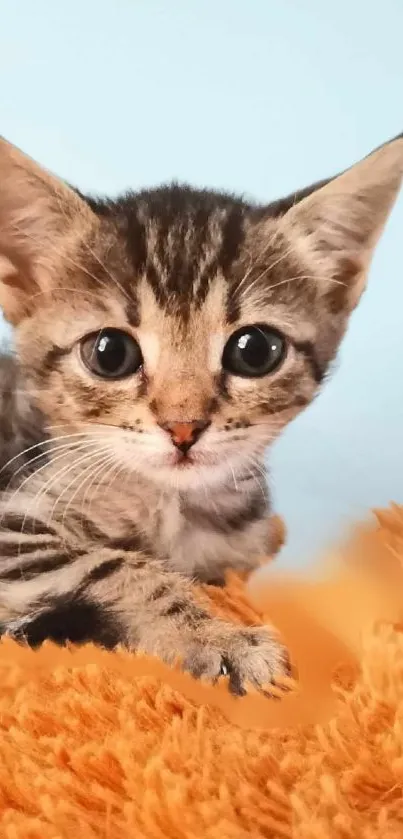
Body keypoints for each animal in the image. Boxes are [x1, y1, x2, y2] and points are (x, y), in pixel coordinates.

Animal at [0, 135, 400, 692]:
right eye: (109, 353)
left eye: (256, 351)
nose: (183, 427)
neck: (175, 510)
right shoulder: (15, 525)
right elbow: (113, 564)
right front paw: (221, 640)